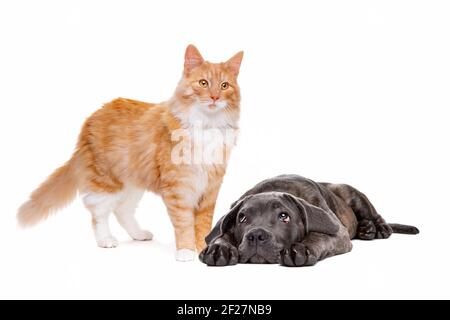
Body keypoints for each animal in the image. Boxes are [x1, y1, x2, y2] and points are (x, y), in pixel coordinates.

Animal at [17, 44, 244, 260]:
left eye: (224, 86)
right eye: (203, 83)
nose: (214, 97)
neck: (207, 125)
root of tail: (93, 117)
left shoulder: (210, 188)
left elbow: (204, 224)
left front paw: (205, 248)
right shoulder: (178, 188)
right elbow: (184, 223)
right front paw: (186, 251)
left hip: (132, 183)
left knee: (122, 210)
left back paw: (139, 234)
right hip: (107, 181)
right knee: (98, 212)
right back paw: (106, 240)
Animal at [200, 174, 418, 266]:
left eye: (284, 216)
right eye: (242, 218)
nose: (256, 235)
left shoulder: (338, 232)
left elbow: (319, 235)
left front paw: (302, 248)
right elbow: (222, 234)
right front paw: (219, 248)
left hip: (350, 192)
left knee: (375, 215)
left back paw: (377, 228)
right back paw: (366, 229)